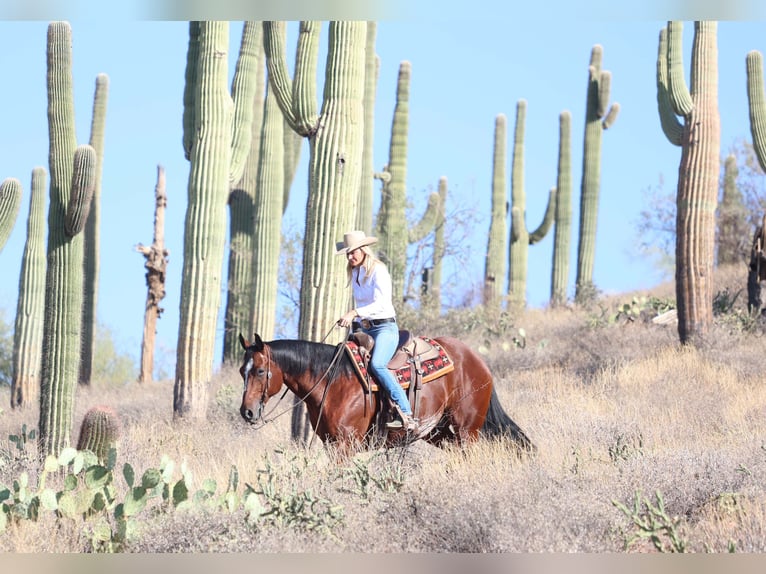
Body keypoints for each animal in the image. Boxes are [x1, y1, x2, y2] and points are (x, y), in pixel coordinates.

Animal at [238, 332, 536, 460]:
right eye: (243, 370)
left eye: (261, 370)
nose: (247, 411)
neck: (331, 380)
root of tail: (478, 360)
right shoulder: (331, 445)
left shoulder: (346, 445)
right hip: (437, 431)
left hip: (467, 429)